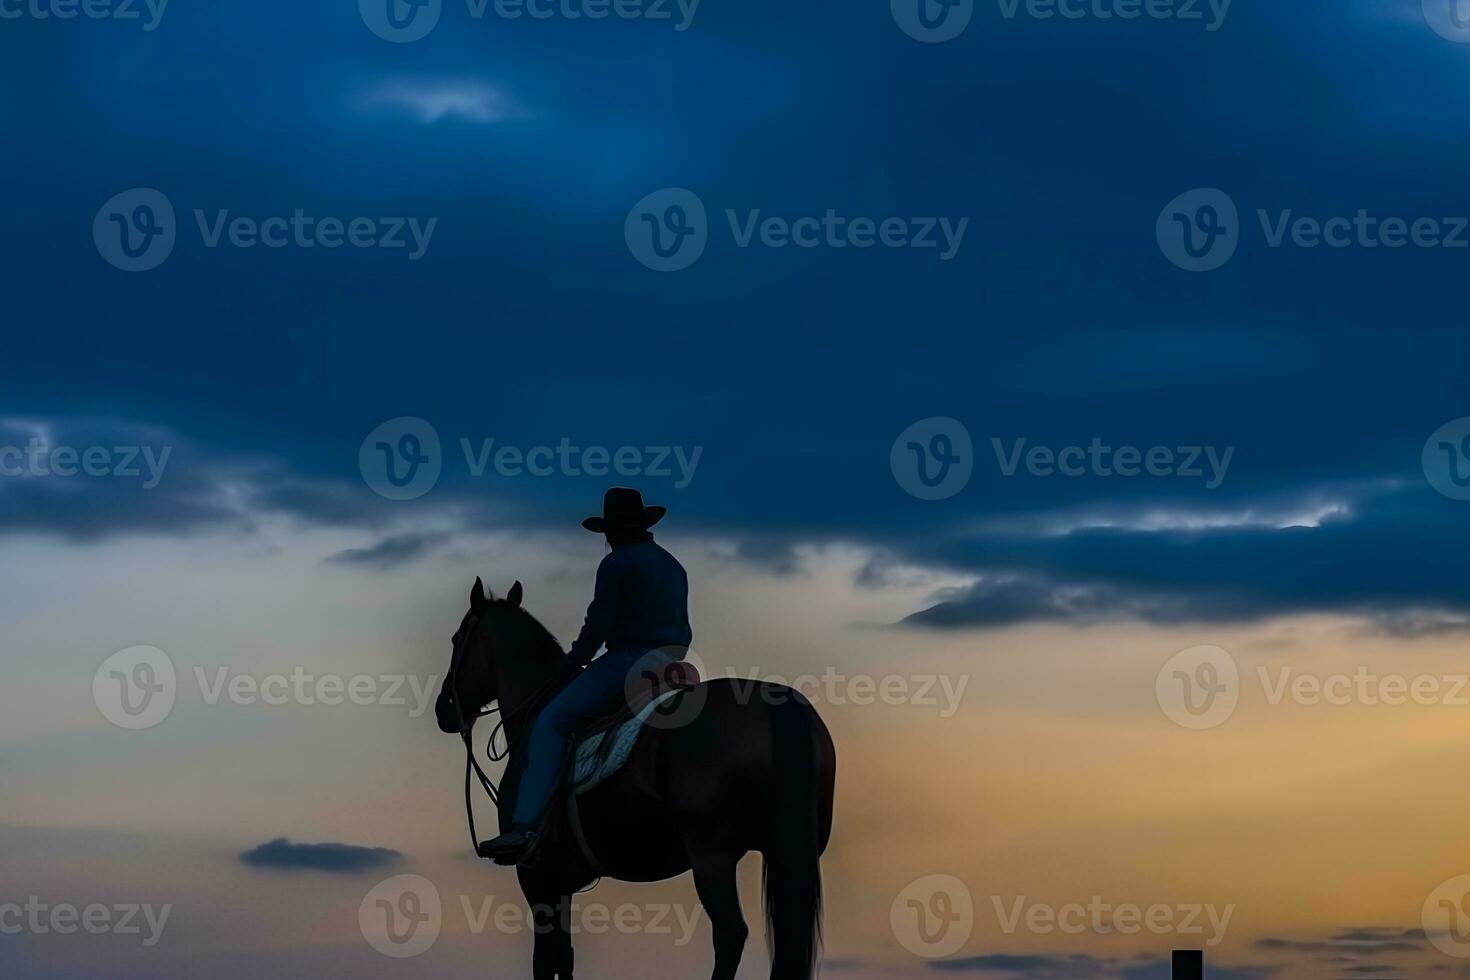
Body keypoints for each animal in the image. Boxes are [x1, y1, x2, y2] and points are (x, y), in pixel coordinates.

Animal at [429, 575, 834, 980]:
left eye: (456, 639)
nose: (443, 709)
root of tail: (775, 704)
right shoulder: (562, 882)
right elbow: (565, 958)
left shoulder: (536, 878)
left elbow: (545, 961)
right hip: (787, 848)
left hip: (712, 857)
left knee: (730, 933)